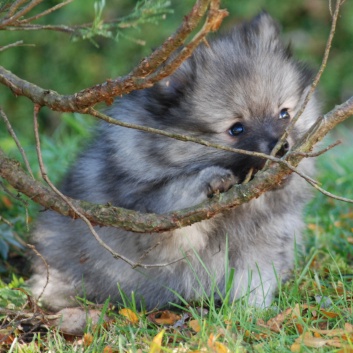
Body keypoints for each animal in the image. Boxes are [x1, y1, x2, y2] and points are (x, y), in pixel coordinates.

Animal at [30, 13, 318, 310]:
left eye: (284, 114)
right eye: (236, 129)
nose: (281, 147)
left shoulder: (263, 242)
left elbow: (254, 278)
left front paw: (251, 311)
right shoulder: (152, 225)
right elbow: (176, 195)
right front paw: (211, 180)